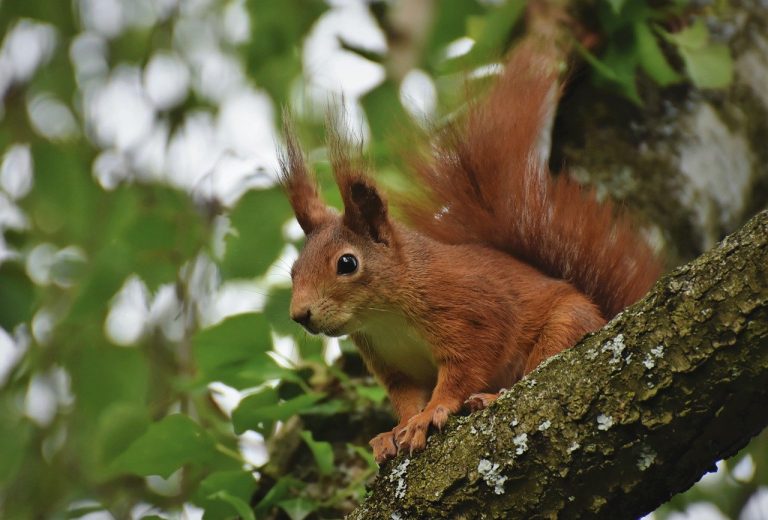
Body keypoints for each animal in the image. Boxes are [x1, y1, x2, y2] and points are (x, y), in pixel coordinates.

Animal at [278, 34, 662, 463]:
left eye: (347, 263)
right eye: (294, 270)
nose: (300, 315)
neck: (385, 316)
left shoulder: (472, 312)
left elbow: (463, 371)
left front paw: (430, 414)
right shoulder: (392, 363)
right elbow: (405, 397)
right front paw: (394, 431)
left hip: (566, 326)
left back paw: (491, 396)